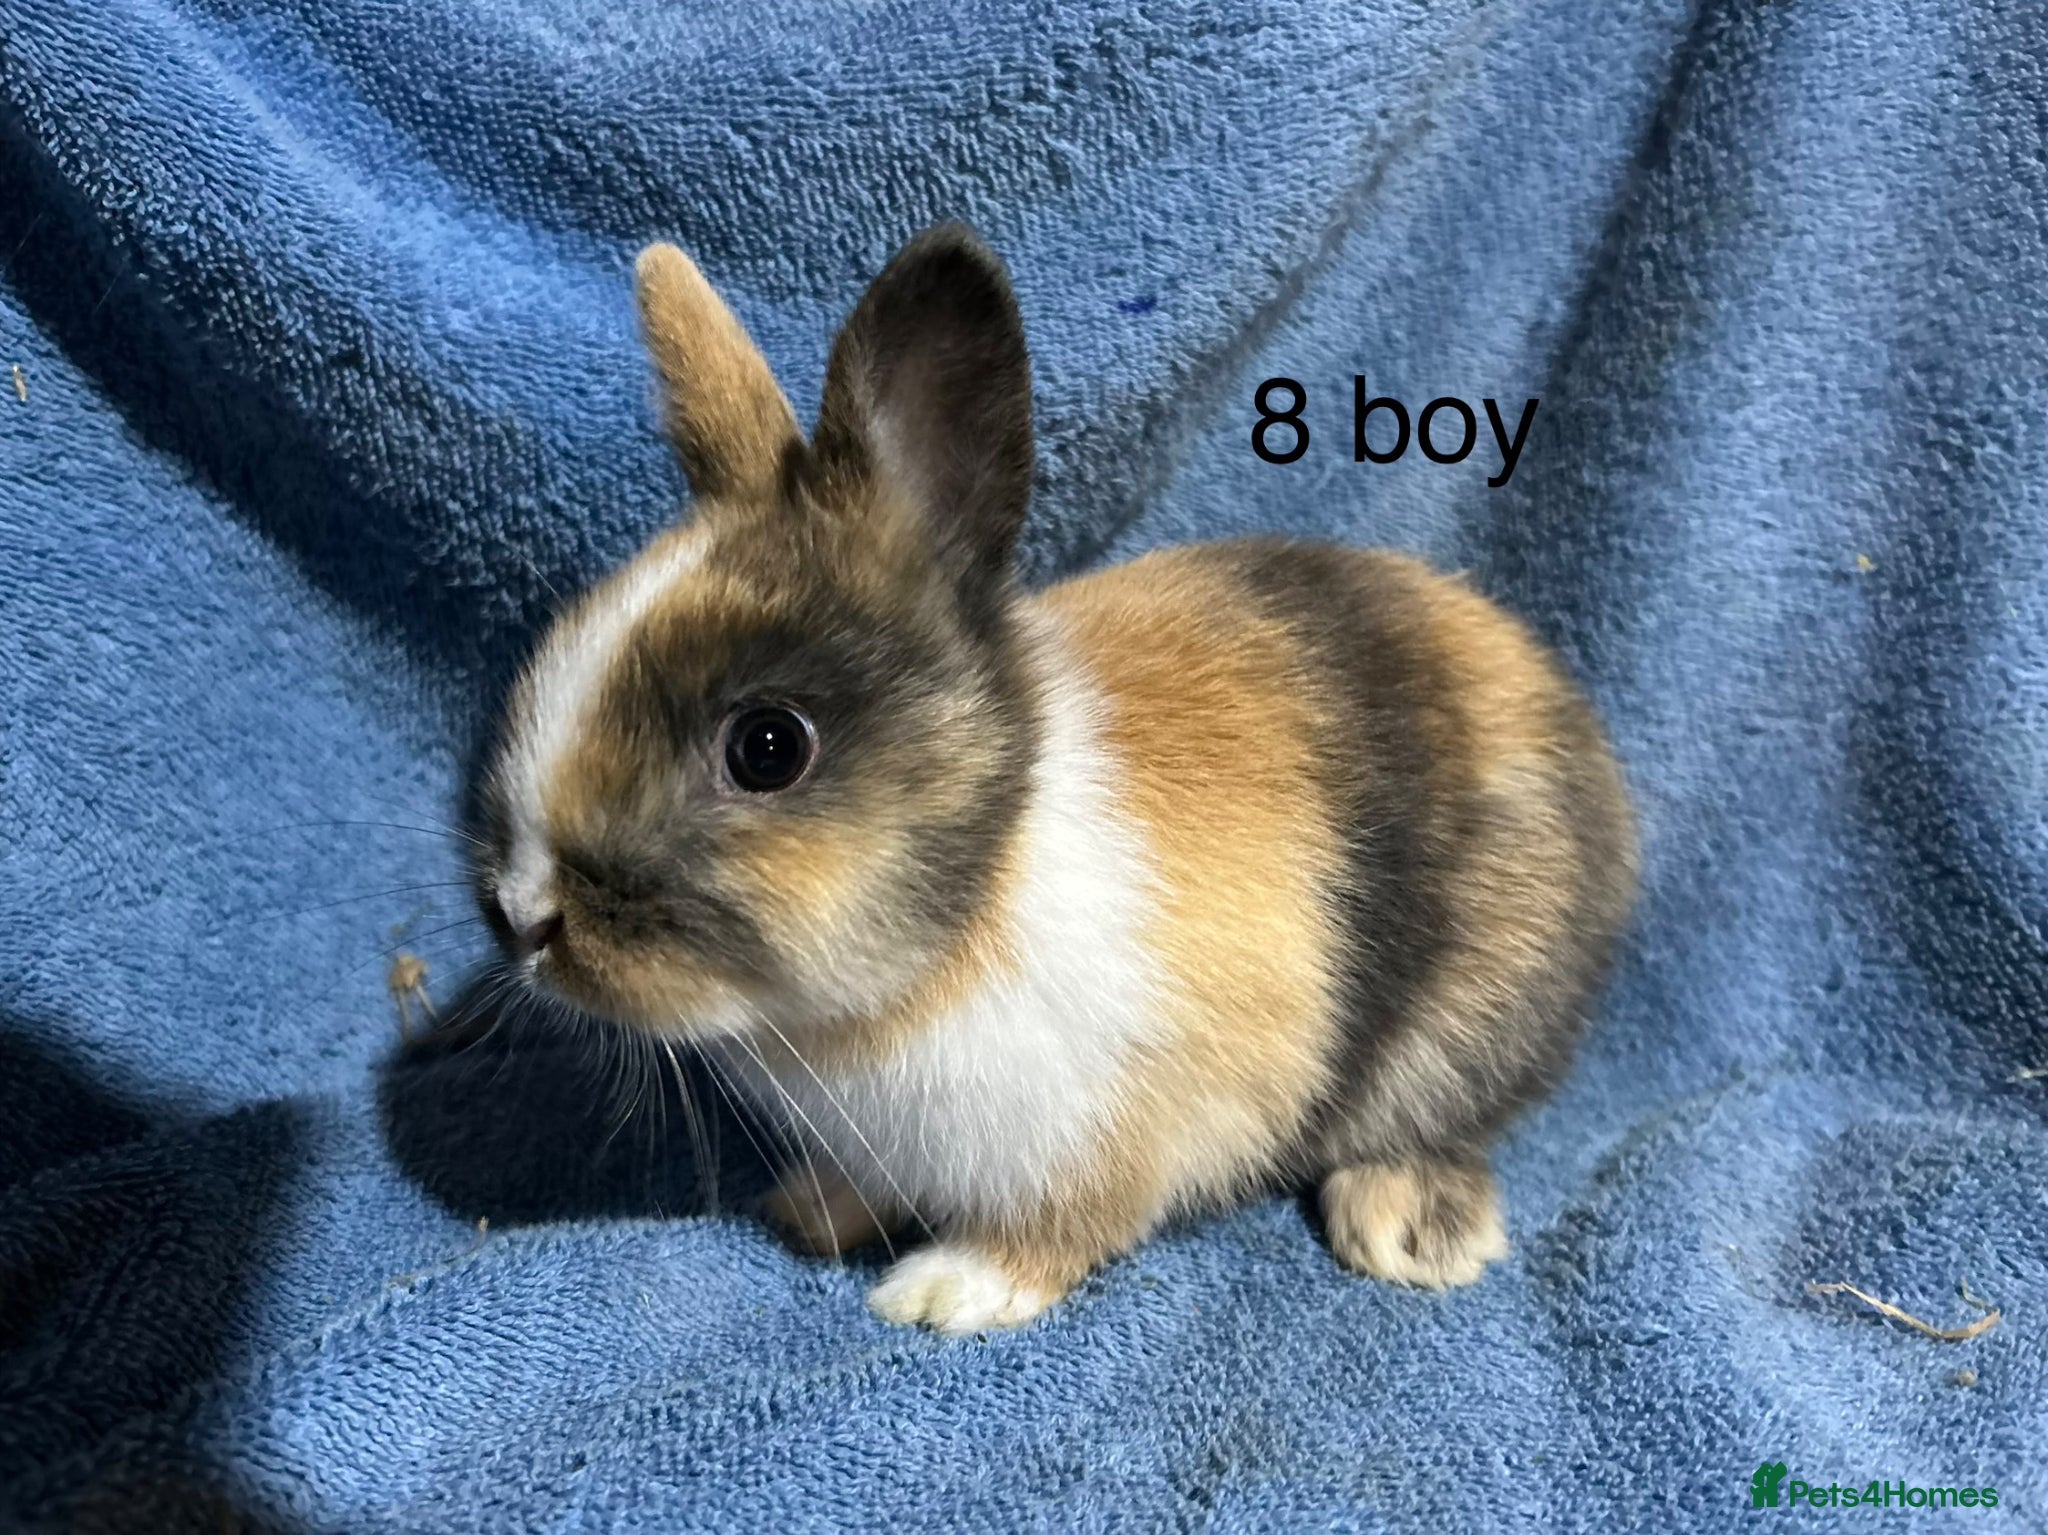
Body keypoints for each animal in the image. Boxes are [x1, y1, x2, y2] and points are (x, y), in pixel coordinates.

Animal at [472, 224, 1638, 1335]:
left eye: (767, 746)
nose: (524, 916)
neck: (980, 882)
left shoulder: (1126, 1120)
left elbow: (1064, 1225)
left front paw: (945, 1290)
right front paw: (810, 1212)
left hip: (1464, 1024)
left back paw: (1405, 1227)